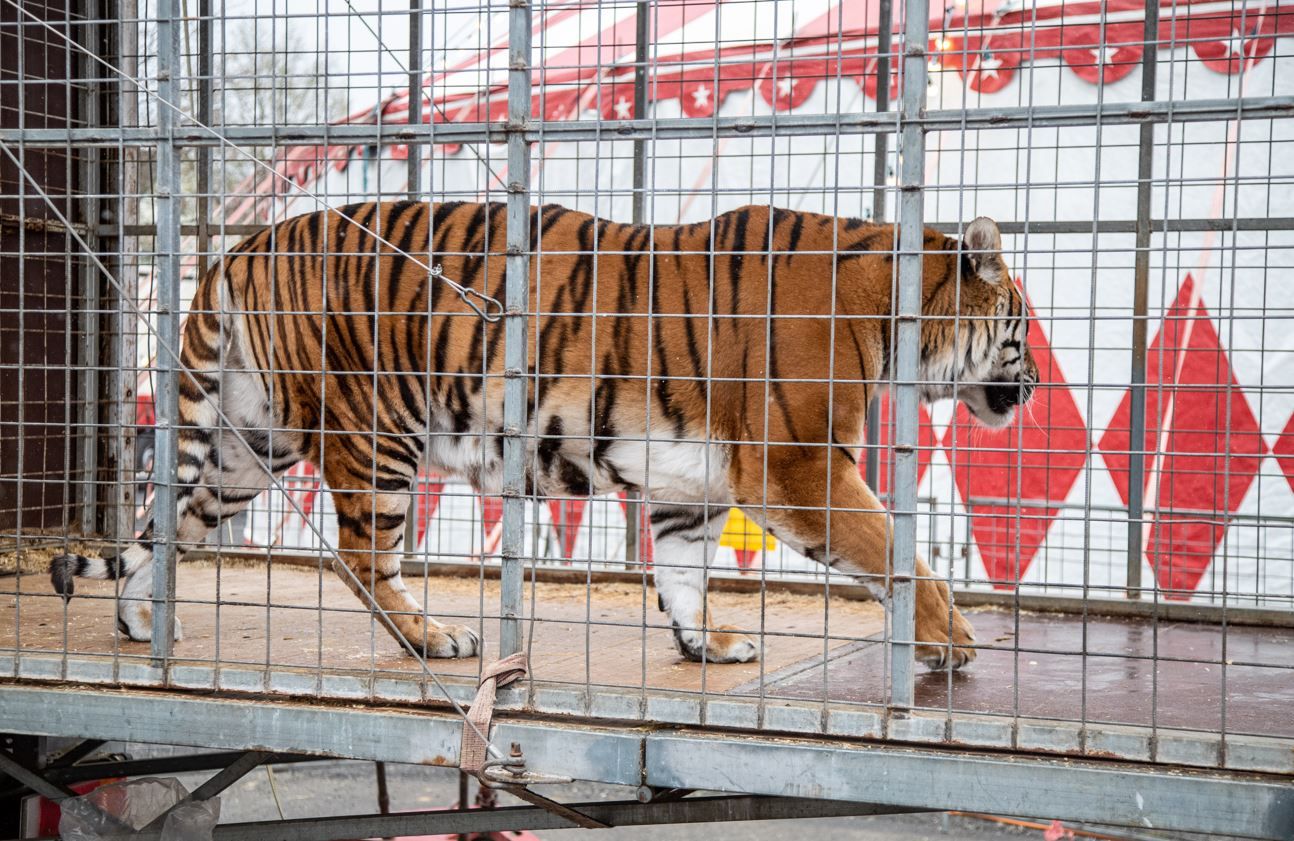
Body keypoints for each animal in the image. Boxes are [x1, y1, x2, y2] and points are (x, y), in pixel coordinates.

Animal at [52, 201, 1037, 670]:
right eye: (1023, 328)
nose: (1029, 389)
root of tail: (241, 243)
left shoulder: (690, 483)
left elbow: (684, 575)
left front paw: (706, 645)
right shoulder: (800, 465)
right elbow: (897, 553)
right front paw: (951, 641)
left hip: (246, 445)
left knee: (164, 522)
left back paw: (141, 621)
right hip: (374, 433)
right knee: (359, 559)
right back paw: (435, 638)